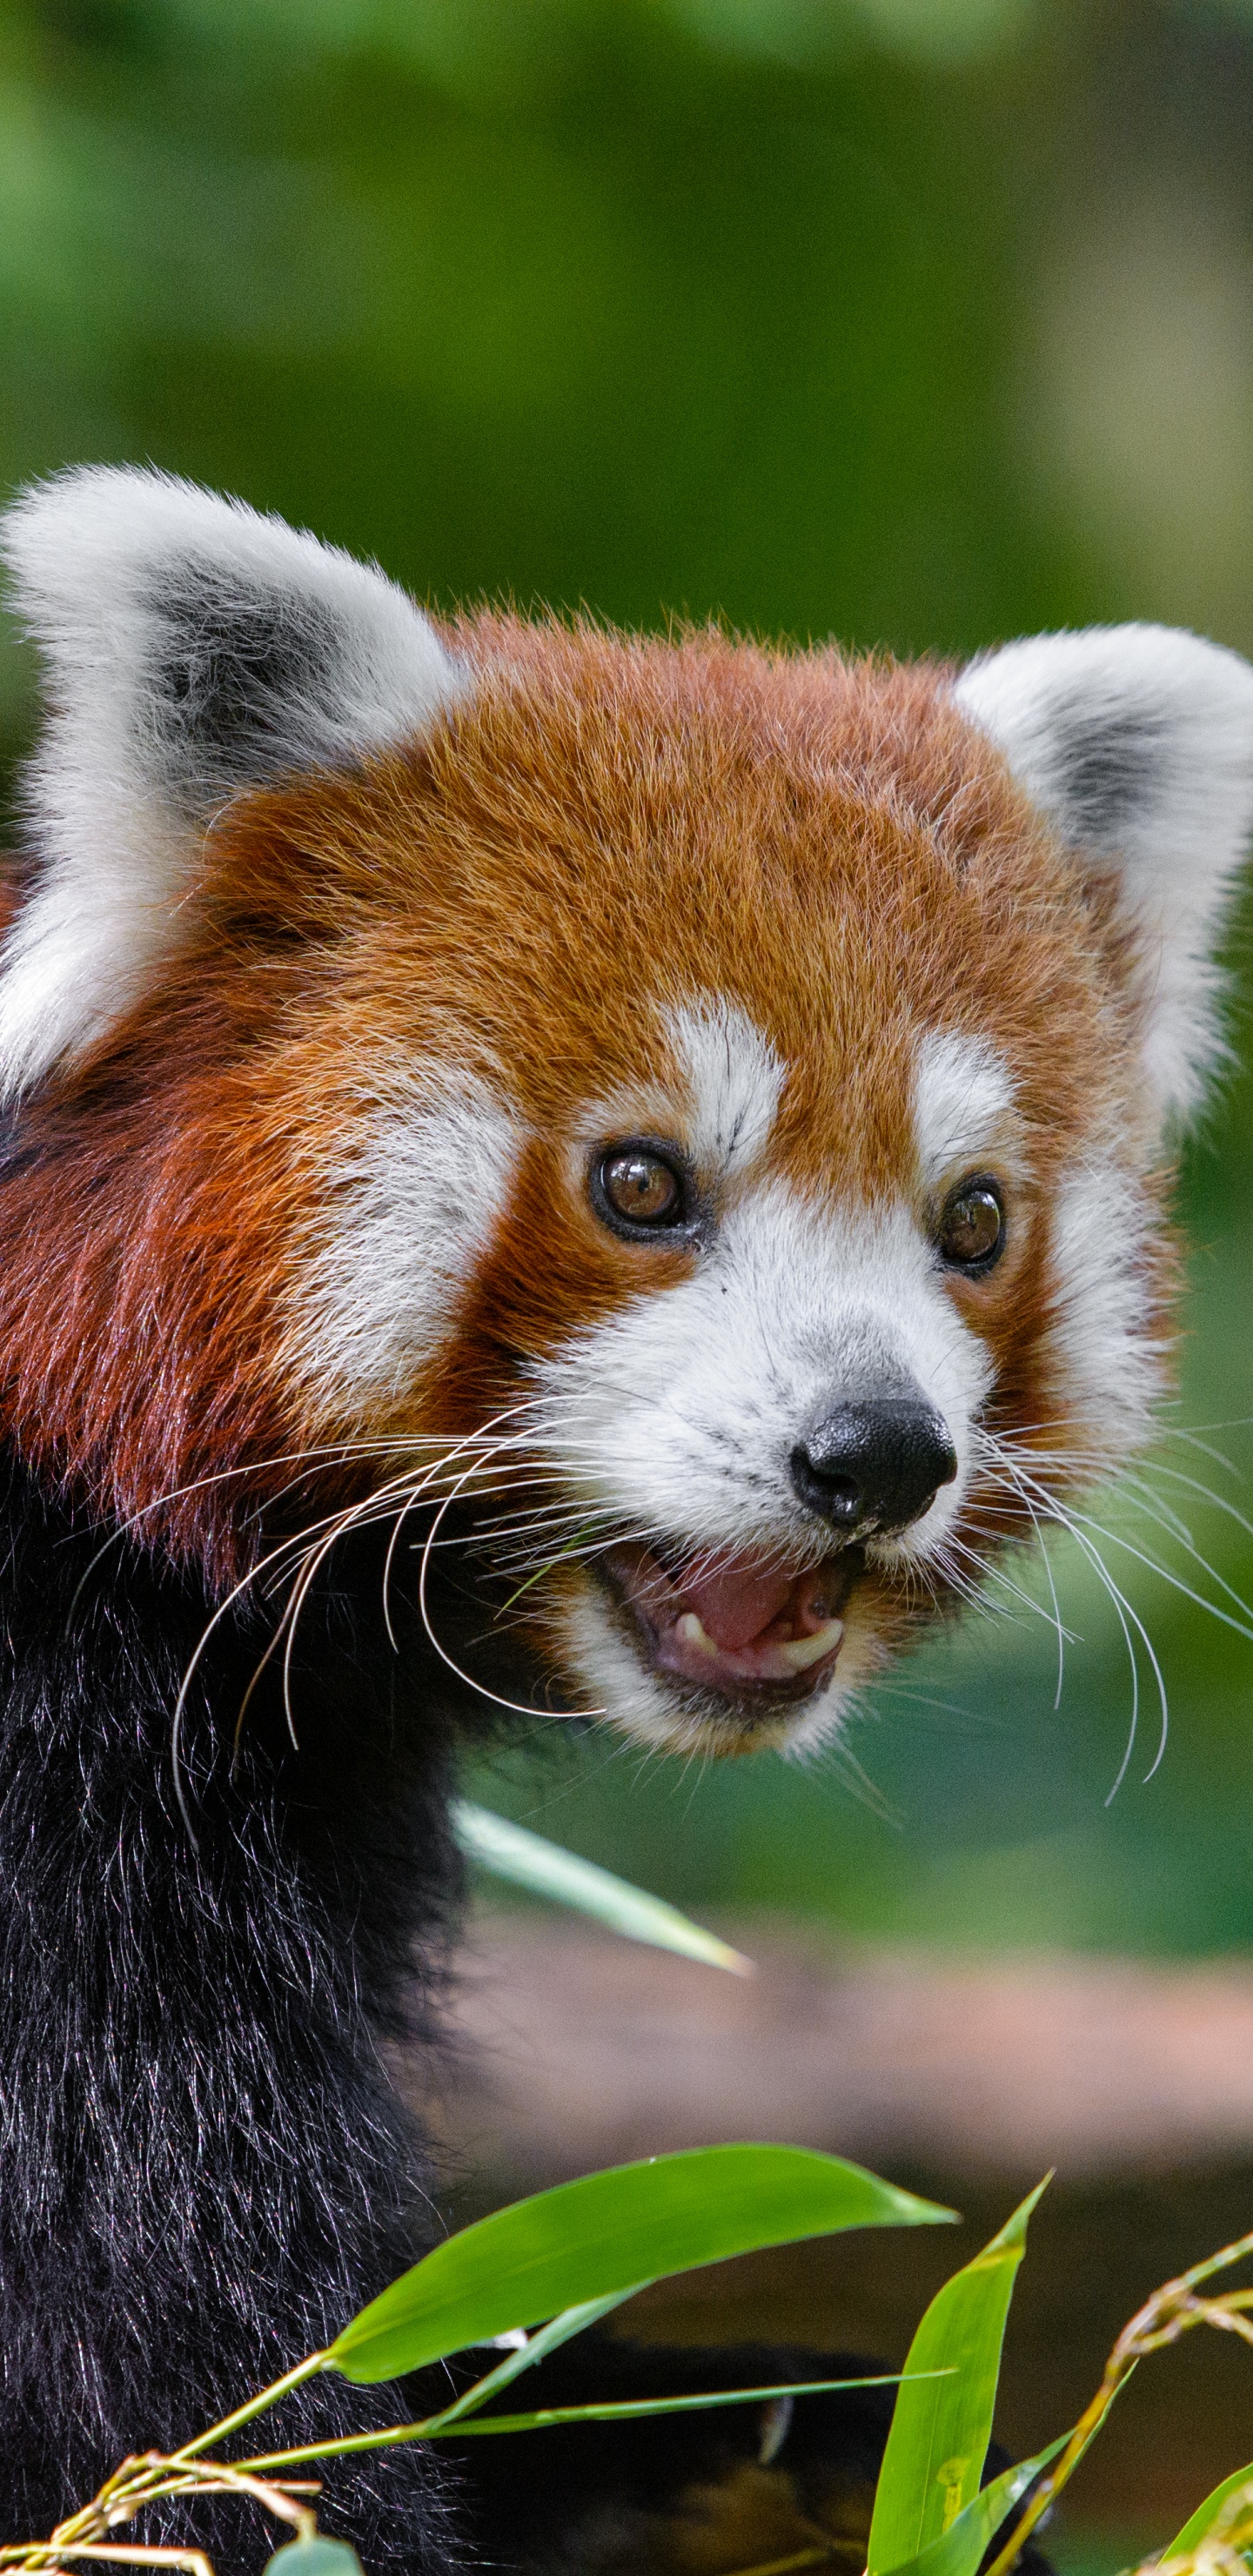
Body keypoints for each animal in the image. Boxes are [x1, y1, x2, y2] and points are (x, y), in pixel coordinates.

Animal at [0, 468, 1248, 2576]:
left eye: (974, 1218)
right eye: (644, 1182)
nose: (876, 1453)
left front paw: (787, 2445)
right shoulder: (61, 1845)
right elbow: (183, 2404)